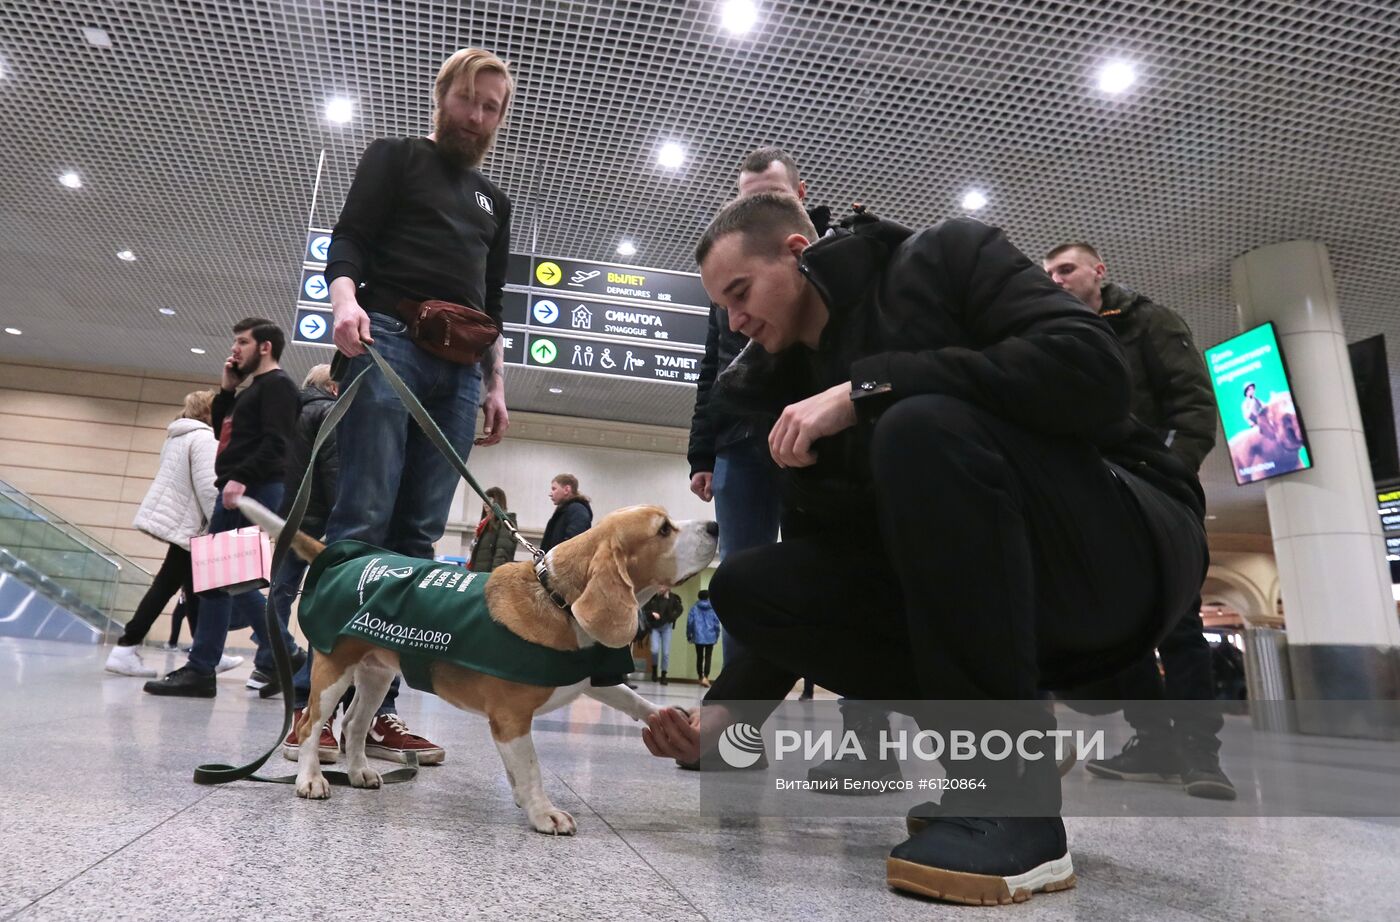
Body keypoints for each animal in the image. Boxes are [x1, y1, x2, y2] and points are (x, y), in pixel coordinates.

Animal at [236, 500, 716, 833]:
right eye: (664, 529)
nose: (714, 526)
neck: (557, 598)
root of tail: (344, 558)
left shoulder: (584, 674)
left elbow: (629, 698)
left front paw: (669, 717)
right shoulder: (511, 719)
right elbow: (532, 769)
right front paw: (543, 812)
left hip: (377, 673)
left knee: (354, 724)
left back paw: (358, 772)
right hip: (333, 671)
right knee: (313, 724)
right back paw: (311, 778)